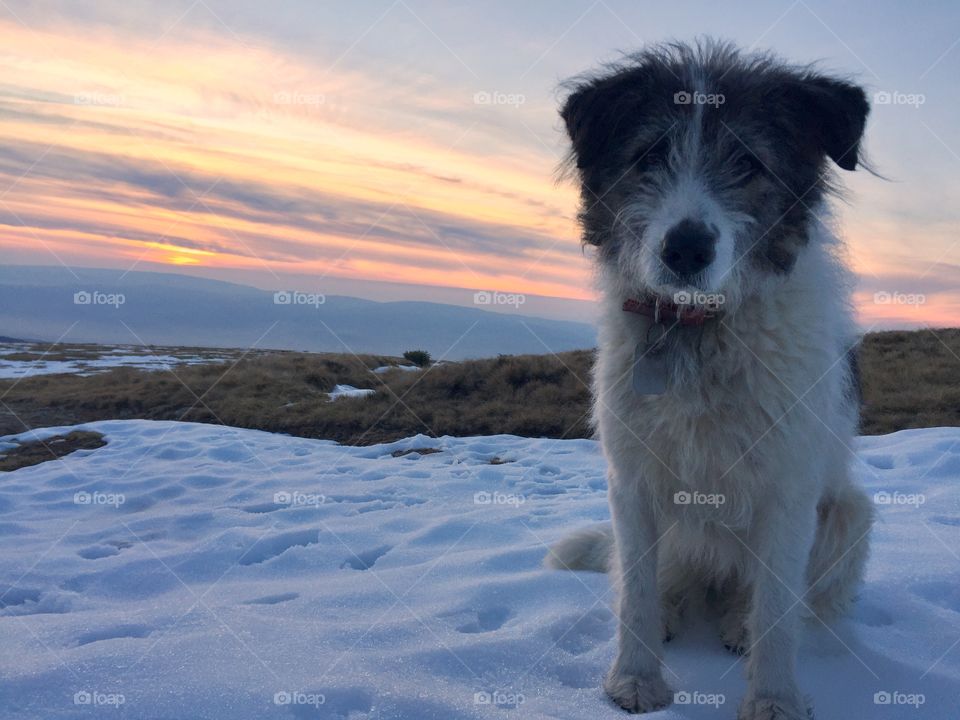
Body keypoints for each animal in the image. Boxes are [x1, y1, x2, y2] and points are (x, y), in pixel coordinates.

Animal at [544, 40, 872, 720]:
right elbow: (635, 593)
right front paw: (634, 681)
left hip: (850, 515)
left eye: (747, 161)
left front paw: (774, 698)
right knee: (658, 582)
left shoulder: (788, 491)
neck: (697, 329)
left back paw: (738, 625)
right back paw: (676, 614)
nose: (686, 249)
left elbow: (777, 610)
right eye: (649, 154)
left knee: (787, 602)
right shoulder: (631, 482)